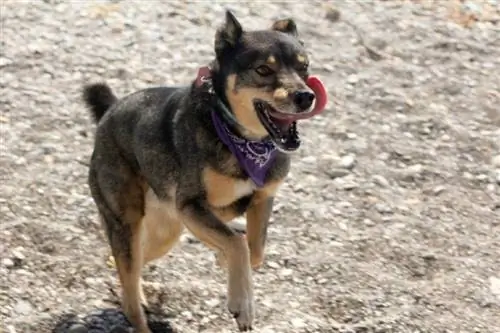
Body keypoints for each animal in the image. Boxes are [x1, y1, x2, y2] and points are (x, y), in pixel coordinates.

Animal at [82, 9, 328, 330]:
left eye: (304, 67)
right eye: (263, 69)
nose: (305, 96)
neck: (242, 139)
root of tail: (109, 112)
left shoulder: (260, 199)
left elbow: (255, 249)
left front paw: (228, 264)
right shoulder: (191, 205)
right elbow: (237, 243)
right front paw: (242, 304)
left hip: (164, 233)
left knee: (133, 274)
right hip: (127, 223)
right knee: (131, 290)